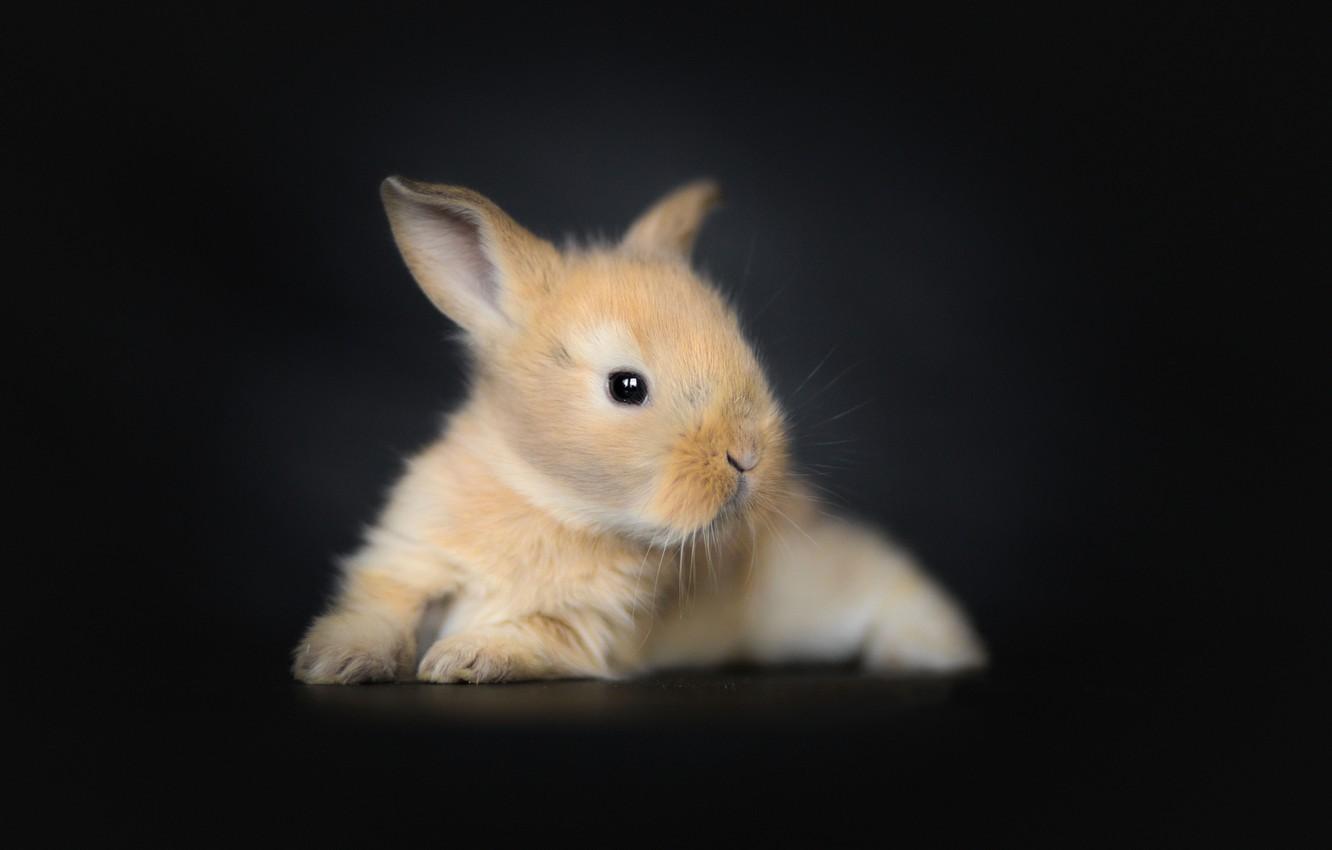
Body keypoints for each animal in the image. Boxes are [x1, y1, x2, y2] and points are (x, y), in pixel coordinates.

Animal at [292, 177, 986, 684]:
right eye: (626, 387)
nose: (747, 456)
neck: (548, 502)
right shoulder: (407, 561)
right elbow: (382, 612)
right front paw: (333, 661)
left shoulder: (588, 629)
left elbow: (528, 635)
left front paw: (461, 659)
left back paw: (933, 651)